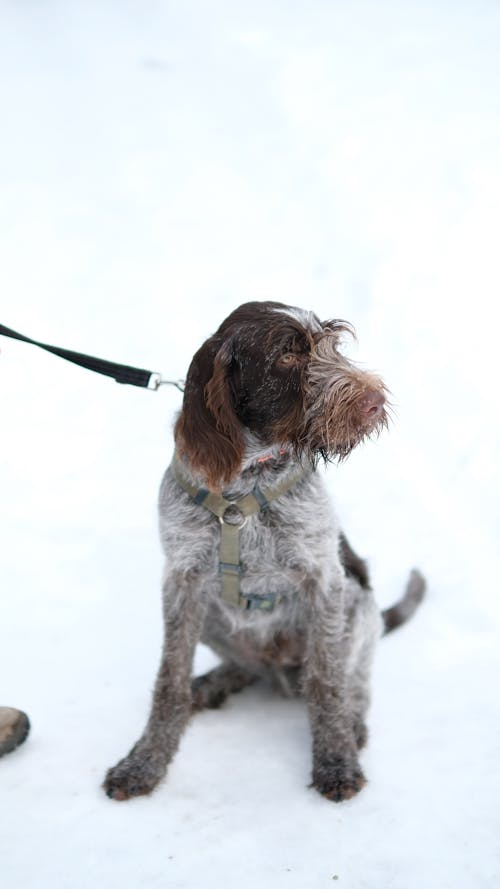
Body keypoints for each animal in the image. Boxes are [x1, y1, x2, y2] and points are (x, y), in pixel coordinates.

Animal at [103, 302, 424, 800]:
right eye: (288, 357)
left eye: (333, 345)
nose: (374, 401)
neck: (247, 477)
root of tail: (279, 672)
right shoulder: (181, 582)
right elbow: (169, 682)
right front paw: (144, 762)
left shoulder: (325, 579)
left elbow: (327, 681)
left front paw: (335, 759)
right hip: (211, 616)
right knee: (245, 667)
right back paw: (214, 682)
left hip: (358, 606)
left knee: (355, 679)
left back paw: (352, 722)